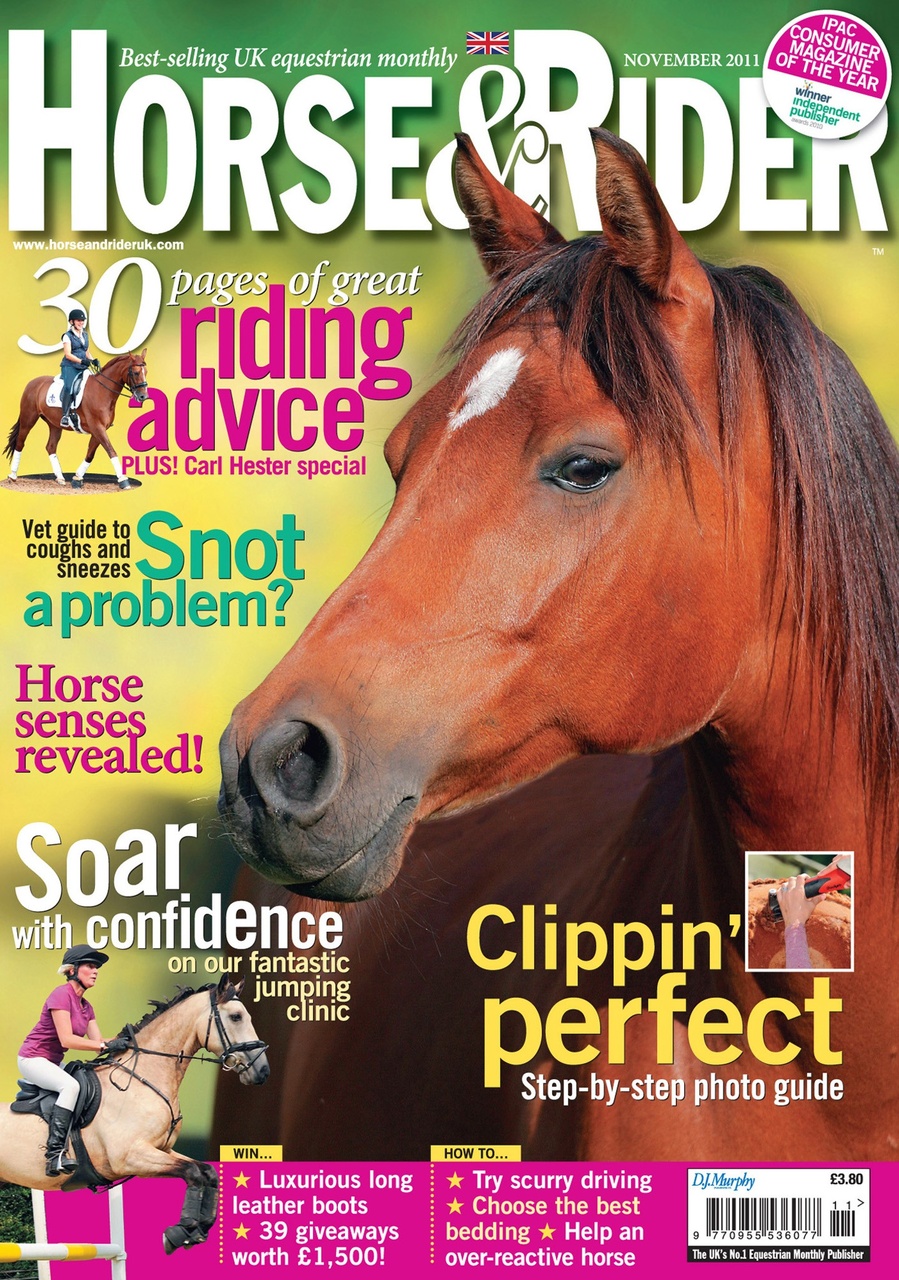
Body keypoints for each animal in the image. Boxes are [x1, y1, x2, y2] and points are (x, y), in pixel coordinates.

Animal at [2, 975, 269, 1253]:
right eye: (236, 1017)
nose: (262, 1071)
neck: (146, 1078)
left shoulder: (161, 1149)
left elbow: (207, 1172)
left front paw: (196, 1229)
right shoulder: (131, 1156)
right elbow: (193, 1172)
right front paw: (181, 1230)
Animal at [5, 349, 148, 490]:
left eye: (145, 372)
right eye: (135, 373)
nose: (143, 397)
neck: (102, 391)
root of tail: (32, 383)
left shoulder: (99, 430)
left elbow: (90, 454)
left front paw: (77, 478)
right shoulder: (97, 427)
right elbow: (111, 450)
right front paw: (124, 481)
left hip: (54, 424)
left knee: (51, 447)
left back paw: (60, 479)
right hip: (28, 419)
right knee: (20, 442)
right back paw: (12, 475)